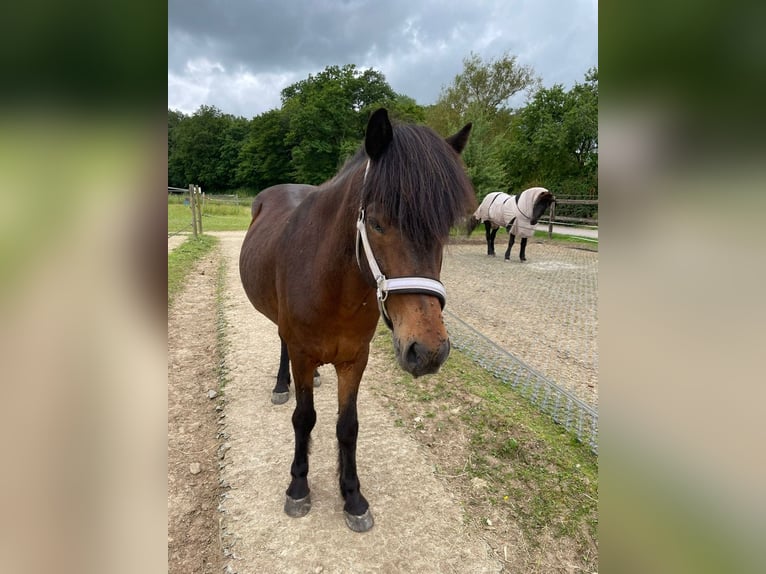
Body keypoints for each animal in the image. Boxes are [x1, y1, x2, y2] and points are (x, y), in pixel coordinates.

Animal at [239, 108, 474, 532]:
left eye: (444, 228)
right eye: (378, 223)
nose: (428, 351)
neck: (332, 285)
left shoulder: (355, 359)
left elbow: (348, 427)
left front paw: (352, 497)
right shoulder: (302, 352)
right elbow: (305, 418)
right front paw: (298, 487)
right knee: (282, 344)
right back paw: (281, 385)